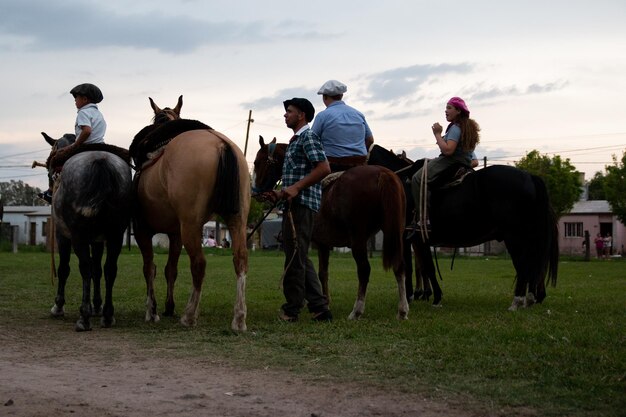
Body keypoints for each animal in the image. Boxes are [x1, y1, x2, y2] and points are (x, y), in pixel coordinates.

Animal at [130, 96, 250, 330]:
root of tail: (220, 144)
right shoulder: (175, 234)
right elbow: (170, 269)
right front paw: (167, 307)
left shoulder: (142, 231)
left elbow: (149, 268)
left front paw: (152, 310)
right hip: (237, 220)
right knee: (240, 259)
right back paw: (239, 318)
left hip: (191, 225)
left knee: (199, 264)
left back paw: (190, 315)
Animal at [251, 136, 408, 318]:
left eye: (257, 162)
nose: (256, 191)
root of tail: (382, 174)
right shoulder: (323, 243)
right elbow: (322, 272)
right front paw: (324, 302)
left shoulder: (315, 241)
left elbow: (315, 271)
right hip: (394, 232)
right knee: (399, 265)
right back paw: (402, 310)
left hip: (358, 239)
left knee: (364, 270)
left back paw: (356, 311)